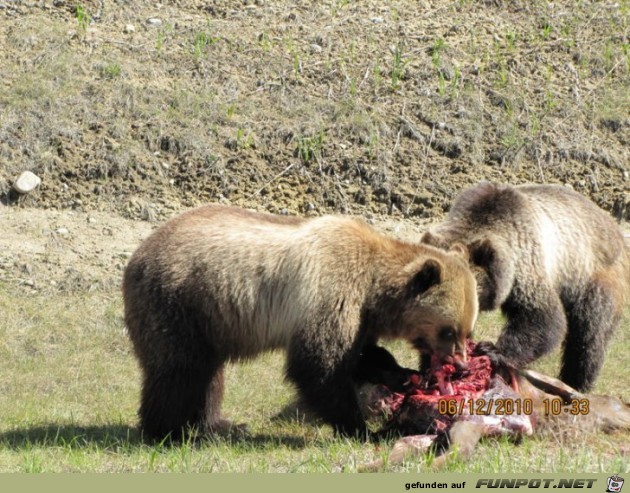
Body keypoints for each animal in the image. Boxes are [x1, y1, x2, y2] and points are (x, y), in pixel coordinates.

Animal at [123, 204, 478, 438]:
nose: (460, 364)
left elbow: (362, 355)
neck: (374, 287)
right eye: (448, 331)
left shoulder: (359, 316)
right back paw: (166, 431)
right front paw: (363, 429)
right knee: (178, 370)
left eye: (468, 330)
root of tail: (136, 255)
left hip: (209, 319)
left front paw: (403, 375)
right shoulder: (331, 291)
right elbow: (319, 365)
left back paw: (217, 423)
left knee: (208, 373)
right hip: (179, 301)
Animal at [422, 183, 628, 390]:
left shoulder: (527, 262)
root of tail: (614, 227)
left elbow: (542, 316)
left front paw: (492, 350)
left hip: (593, 276)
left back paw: (576, 382)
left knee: (589, 335)